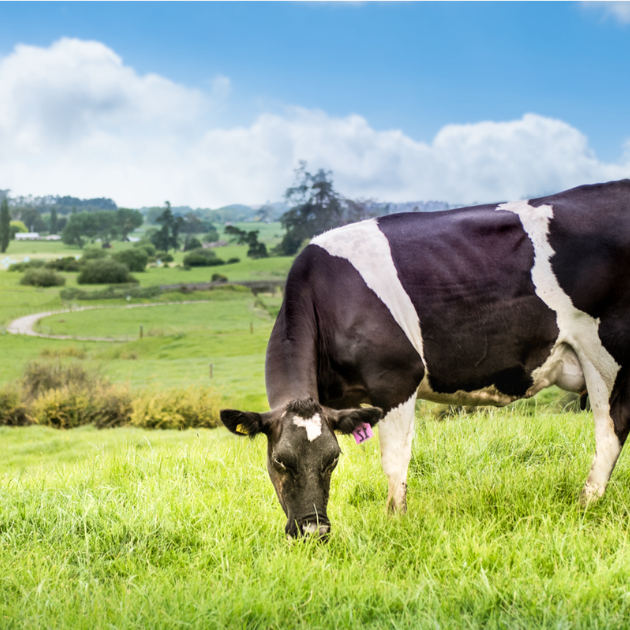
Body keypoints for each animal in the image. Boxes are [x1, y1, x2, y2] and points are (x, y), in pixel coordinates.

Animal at [221, 180, 630, 540]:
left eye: (332, 459)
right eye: (280, 461)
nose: (313, 532)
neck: (330, 298)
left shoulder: (397, 379)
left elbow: (394, 461)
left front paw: (395, 523)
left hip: (604, 351)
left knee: (611, 429)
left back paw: (586, 504)